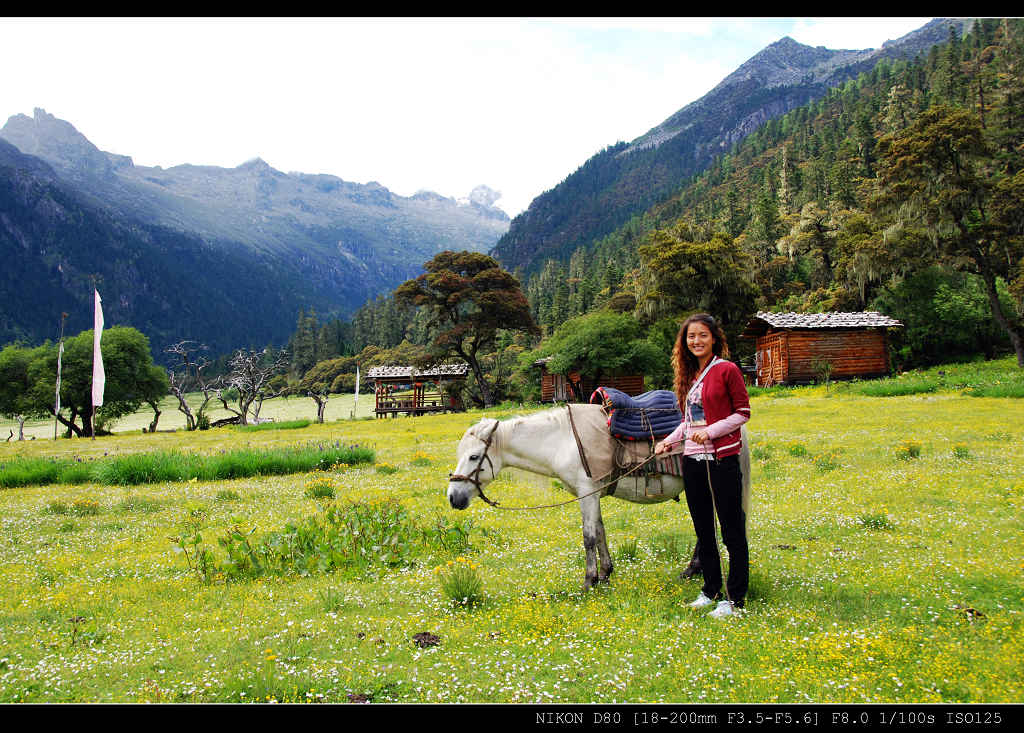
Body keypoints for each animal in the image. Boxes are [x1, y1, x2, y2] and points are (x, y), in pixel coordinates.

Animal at [448, 407, 753, 589]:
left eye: (474, 457)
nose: (453, 497)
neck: (562, 441)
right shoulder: (592, 495)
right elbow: (601, 530)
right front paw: (606, 573)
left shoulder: (587, 492)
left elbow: (589, 536)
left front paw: (589, 580)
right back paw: (692, 569)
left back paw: (694, 568)